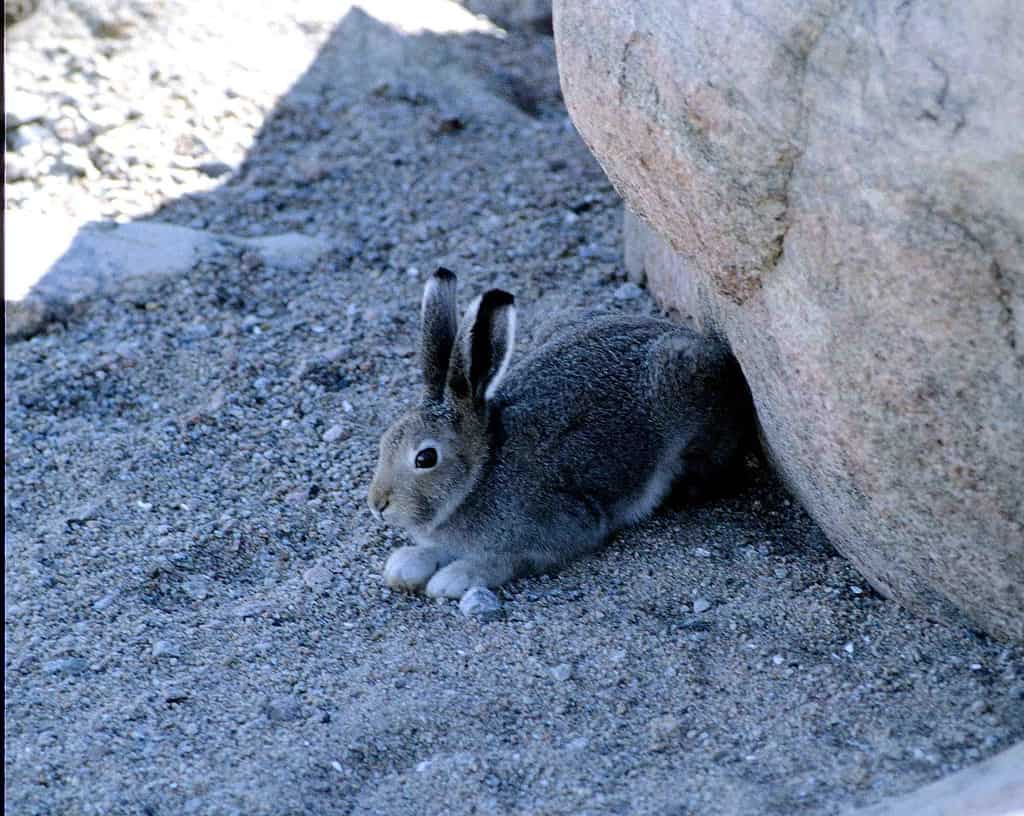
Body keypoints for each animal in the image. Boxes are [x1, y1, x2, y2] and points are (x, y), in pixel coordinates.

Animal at [367, 267, 753, 600]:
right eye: (384, 443)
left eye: (425, 458)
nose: (377, 504)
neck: (482, 473)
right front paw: (406, 564)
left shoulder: (561, 528)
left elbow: (508, 559)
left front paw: (457, 577)